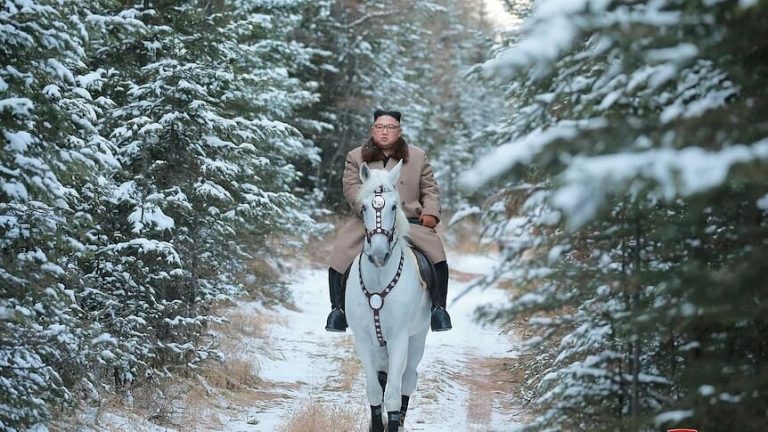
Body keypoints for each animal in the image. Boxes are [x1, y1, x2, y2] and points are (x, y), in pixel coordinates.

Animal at [345, 160, 432, 432]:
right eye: (363, 207)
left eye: (394, 206)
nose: (378, 254)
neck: (379, 279)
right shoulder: (363, 339)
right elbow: (375, 389)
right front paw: (376, 423)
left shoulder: (399, 339)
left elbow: (393, 395)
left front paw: (392, 422)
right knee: (382, 377)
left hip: (417, 339)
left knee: (407, 380)